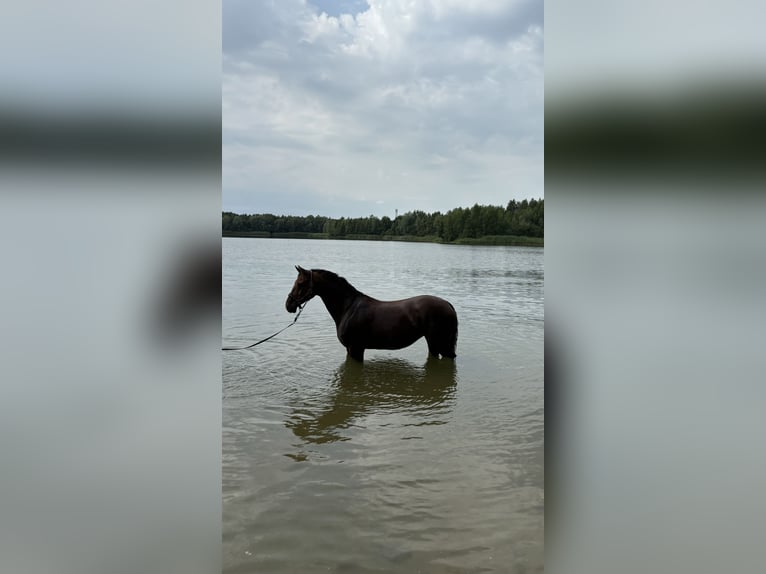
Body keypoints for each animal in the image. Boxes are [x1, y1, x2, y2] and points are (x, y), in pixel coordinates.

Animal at [286, 266, 458, 362]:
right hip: (434, 343)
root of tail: (448, 304)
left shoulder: (356, 349)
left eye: (300, 283)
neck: (348, 307)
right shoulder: (350, 350)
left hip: (440, 343)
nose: (288, 304)